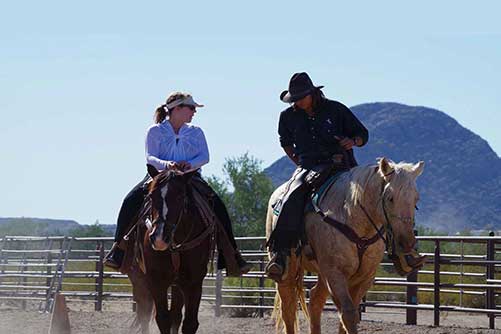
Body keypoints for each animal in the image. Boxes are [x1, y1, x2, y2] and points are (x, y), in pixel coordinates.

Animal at [264, 157, 424, 334]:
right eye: (390, 198)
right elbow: (347, 313)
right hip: (289, 271)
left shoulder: (364, 276)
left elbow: (348, 314)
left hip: (322, 273)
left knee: (315, 300)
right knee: (288, 307)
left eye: (416, 199)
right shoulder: (335, 273)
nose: (407, 243)